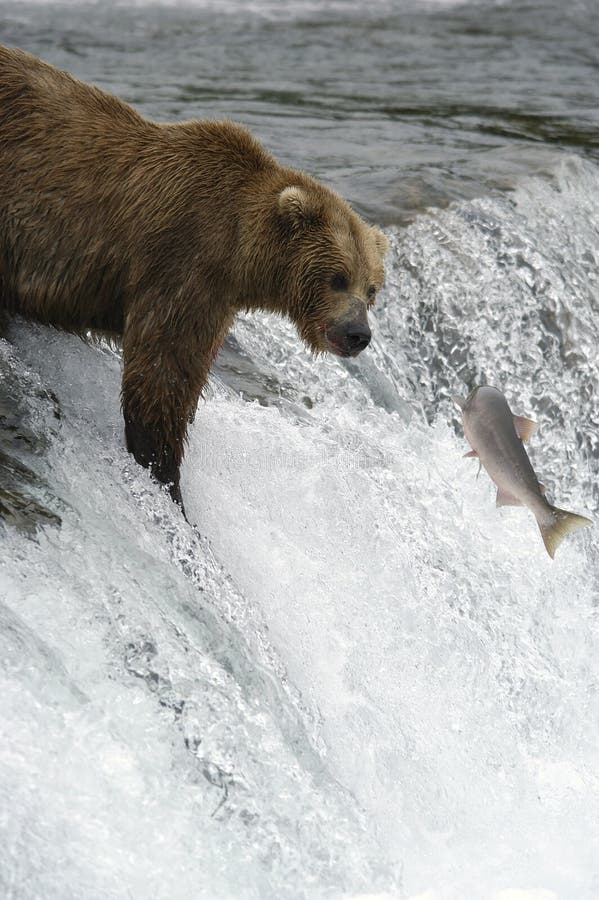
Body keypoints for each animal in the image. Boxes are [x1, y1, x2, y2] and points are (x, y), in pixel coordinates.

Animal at [0, 46, 388, 516]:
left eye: (371, 288)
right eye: (337, 277)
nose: (357, 333)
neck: (240, 250)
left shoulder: (216, 296)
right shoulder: (183, 261)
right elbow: (161, 376)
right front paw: (165, 476)